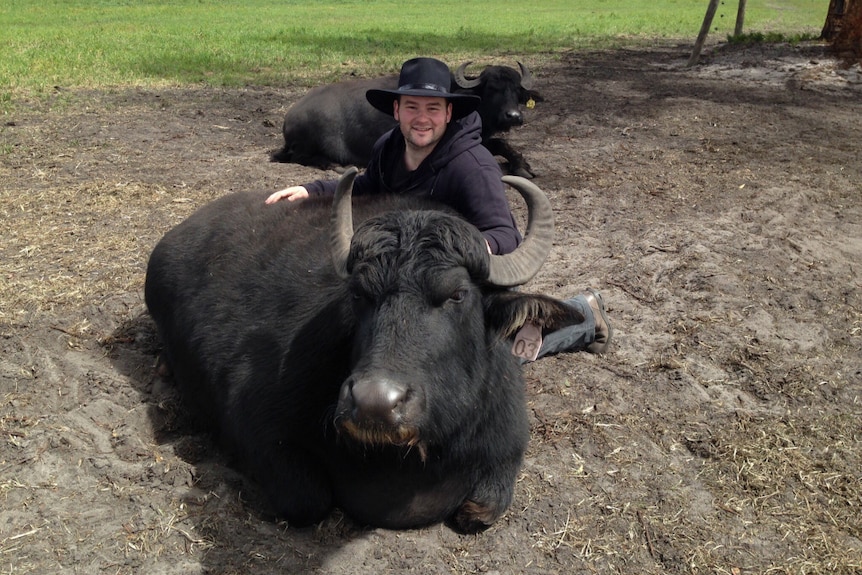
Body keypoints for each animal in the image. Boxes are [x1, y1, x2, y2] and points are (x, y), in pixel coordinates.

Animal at [145, 166, 584, 532]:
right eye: (359, 293)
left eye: (458, 294)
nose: (374, 403)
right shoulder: (254, 425)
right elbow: (307, 500)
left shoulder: (508, 441)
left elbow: (483, 509)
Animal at [274, 60, 544, 178]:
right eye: (492, 88)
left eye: (516, 90)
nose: (513, 116)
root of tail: (291, 116)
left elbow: (500, 143)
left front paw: (522, 164)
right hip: (306, 146)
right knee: (301, 157)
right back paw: (336, 165)